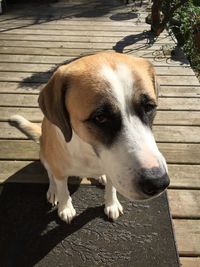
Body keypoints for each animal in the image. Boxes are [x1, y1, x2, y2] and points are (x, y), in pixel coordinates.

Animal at [10, 51, 170, 224]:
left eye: (149, 107)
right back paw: (53, 190)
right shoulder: (59, 170)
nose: (158, 182)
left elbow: (111, 187)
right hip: (44, 155)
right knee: (50, 174)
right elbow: (63, 189)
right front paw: (65, 208)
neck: (90, 153)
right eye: (100, 117)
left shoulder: (112, 168)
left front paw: (111, 203)